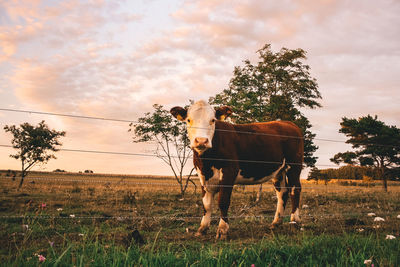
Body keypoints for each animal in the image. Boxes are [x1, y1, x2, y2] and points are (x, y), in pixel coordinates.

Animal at [170, 100, 304, 241]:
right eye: (189, 120)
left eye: (213, 120)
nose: (201, 141)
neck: (207, 161)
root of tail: (288, 123)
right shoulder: (202, 176)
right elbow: (206, 204)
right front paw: (202, 229)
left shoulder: (229, 172)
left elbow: (223, 201)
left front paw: (222, 230)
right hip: (279, 171)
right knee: (282, 193)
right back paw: (276, 223)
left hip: (294, 165)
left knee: (295, 189)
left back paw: (295, 222)